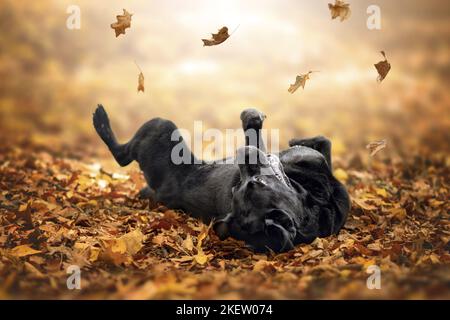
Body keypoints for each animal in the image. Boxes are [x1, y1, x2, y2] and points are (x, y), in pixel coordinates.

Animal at [93, 105, 350, 252]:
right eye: (236, 187)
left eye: (257, 183)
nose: (242, 153)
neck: (315, 201)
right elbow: (321, 143)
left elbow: (323, 144)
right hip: (160, 126)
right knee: (122, 155)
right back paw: (101, 119)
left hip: (159, 130)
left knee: (123, 157)